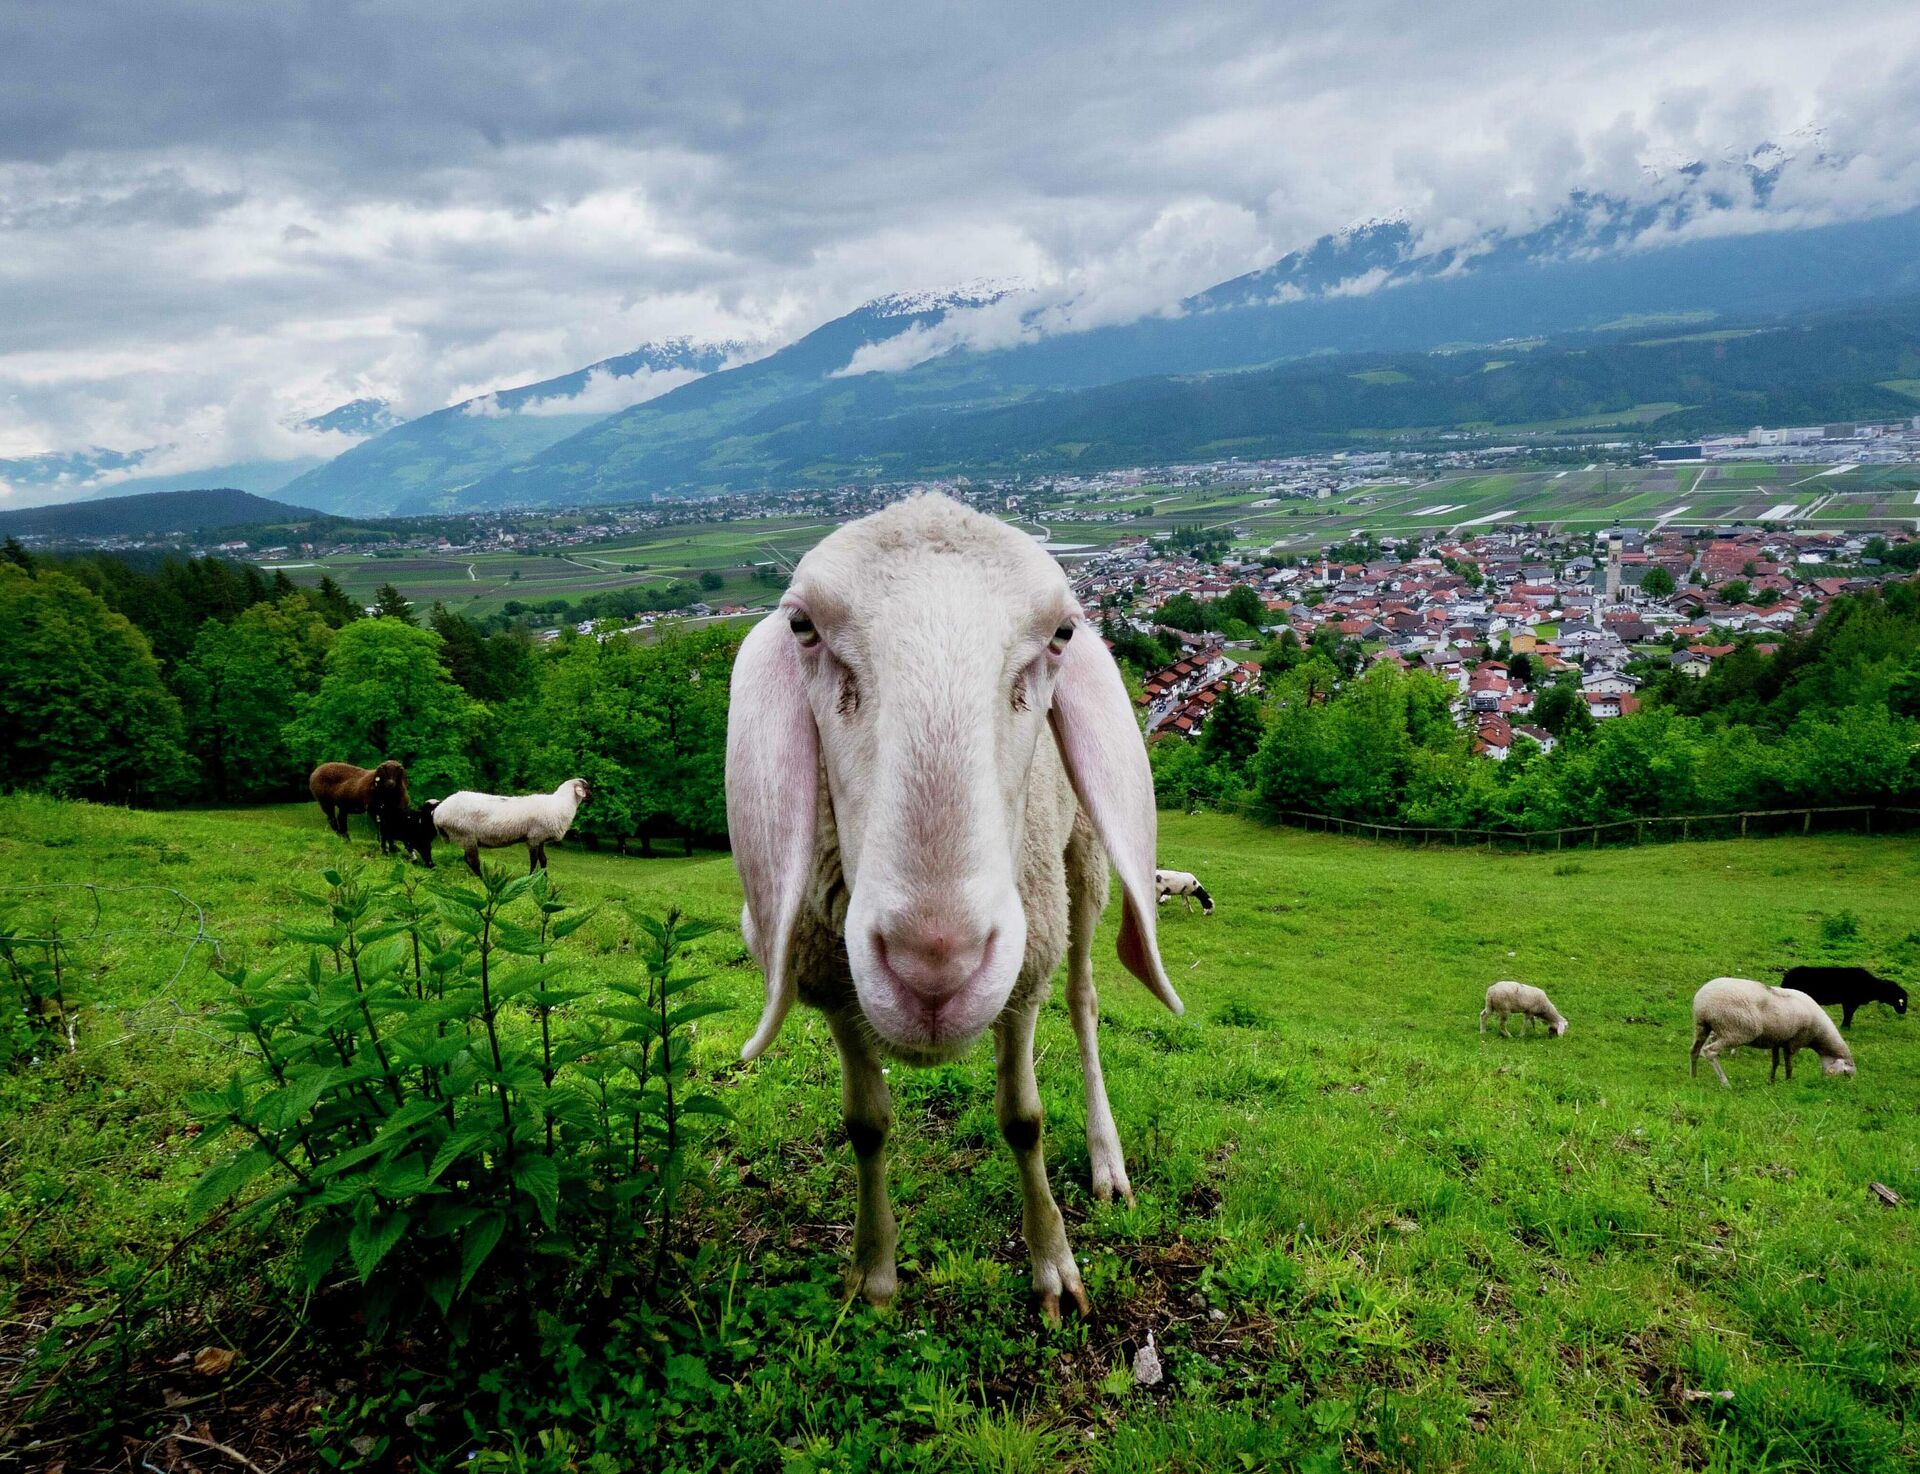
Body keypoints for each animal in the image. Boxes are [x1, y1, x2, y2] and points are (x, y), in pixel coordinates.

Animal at [432, 783, 587, 875]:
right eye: (588, 787)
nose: (591, 797)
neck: (562, 804)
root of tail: (438, 811)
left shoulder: (540, 838)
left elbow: (543, 860)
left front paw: (544, 879)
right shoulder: (533, 838)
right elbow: (534, 860)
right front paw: (531, 877)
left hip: (465, 838)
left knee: (467, 859)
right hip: (466, 835)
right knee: (473, 861)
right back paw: (483, 878)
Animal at [725, 491, 1182, 1320]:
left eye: (1062, 634)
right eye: (803, 627)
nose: (934, 963)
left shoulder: (1022, 976)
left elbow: (1023, 1121)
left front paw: (1053, 1265)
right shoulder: (831, 986)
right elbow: (865, 1126)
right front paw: (873, 1274)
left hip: (1080, 867)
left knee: (1085, 1000)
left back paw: (1107, 1159)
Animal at [1689, 974, 1850, 1090]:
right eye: (1846, 1073)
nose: (1846, 1086)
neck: (1820, 1034)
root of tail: (1703, 1000)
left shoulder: (1776, 1040)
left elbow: (1775, 1062)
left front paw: (1772, 1081)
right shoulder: (1793, 1042)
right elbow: (1789, 1064)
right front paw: (1788, 1082)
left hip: (1702, 1026)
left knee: (1694, 1050)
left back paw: (1694, 1077)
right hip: (1735, 1030)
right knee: (1710, 1051)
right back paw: (1725, 1083)